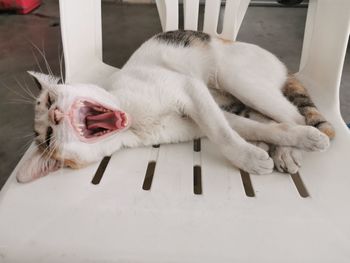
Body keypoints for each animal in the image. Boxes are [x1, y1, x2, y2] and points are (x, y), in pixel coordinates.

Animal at [15, 29, 334, 184]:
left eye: (50, 100)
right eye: (48, 138)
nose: (55, 114)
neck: (136, 120)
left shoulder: (189, 89)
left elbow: (222, 134)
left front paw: (253, 157)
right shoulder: (201, 118)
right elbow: (246, 130)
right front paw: (253, 155)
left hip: (237, 79)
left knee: (293, 114)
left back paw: (292, 150)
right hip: (237, 100)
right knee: (273, 118)